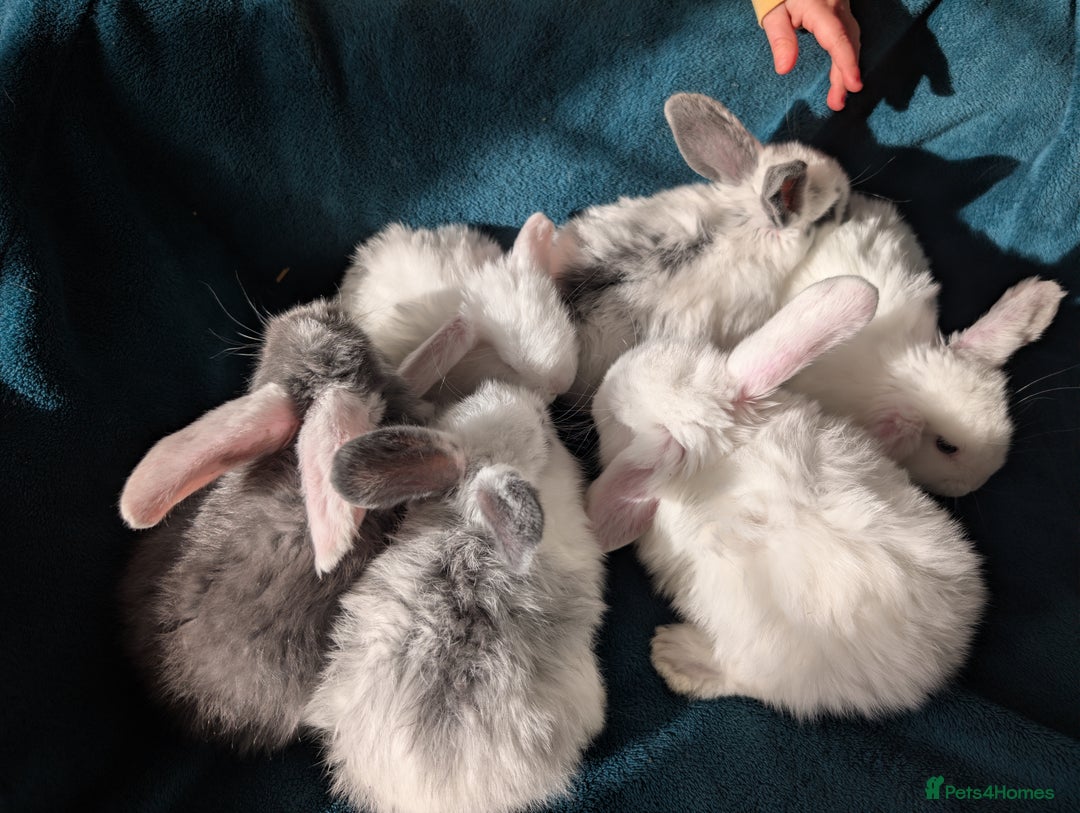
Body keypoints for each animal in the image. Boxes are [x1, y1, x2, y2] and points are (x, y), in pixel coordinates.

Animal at [586, 276, 987, 719]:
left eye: (612, 419)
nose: (602, 386)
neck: (725, 446)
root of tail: (934, 666)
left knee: (744, 679)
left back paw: (675, 656)